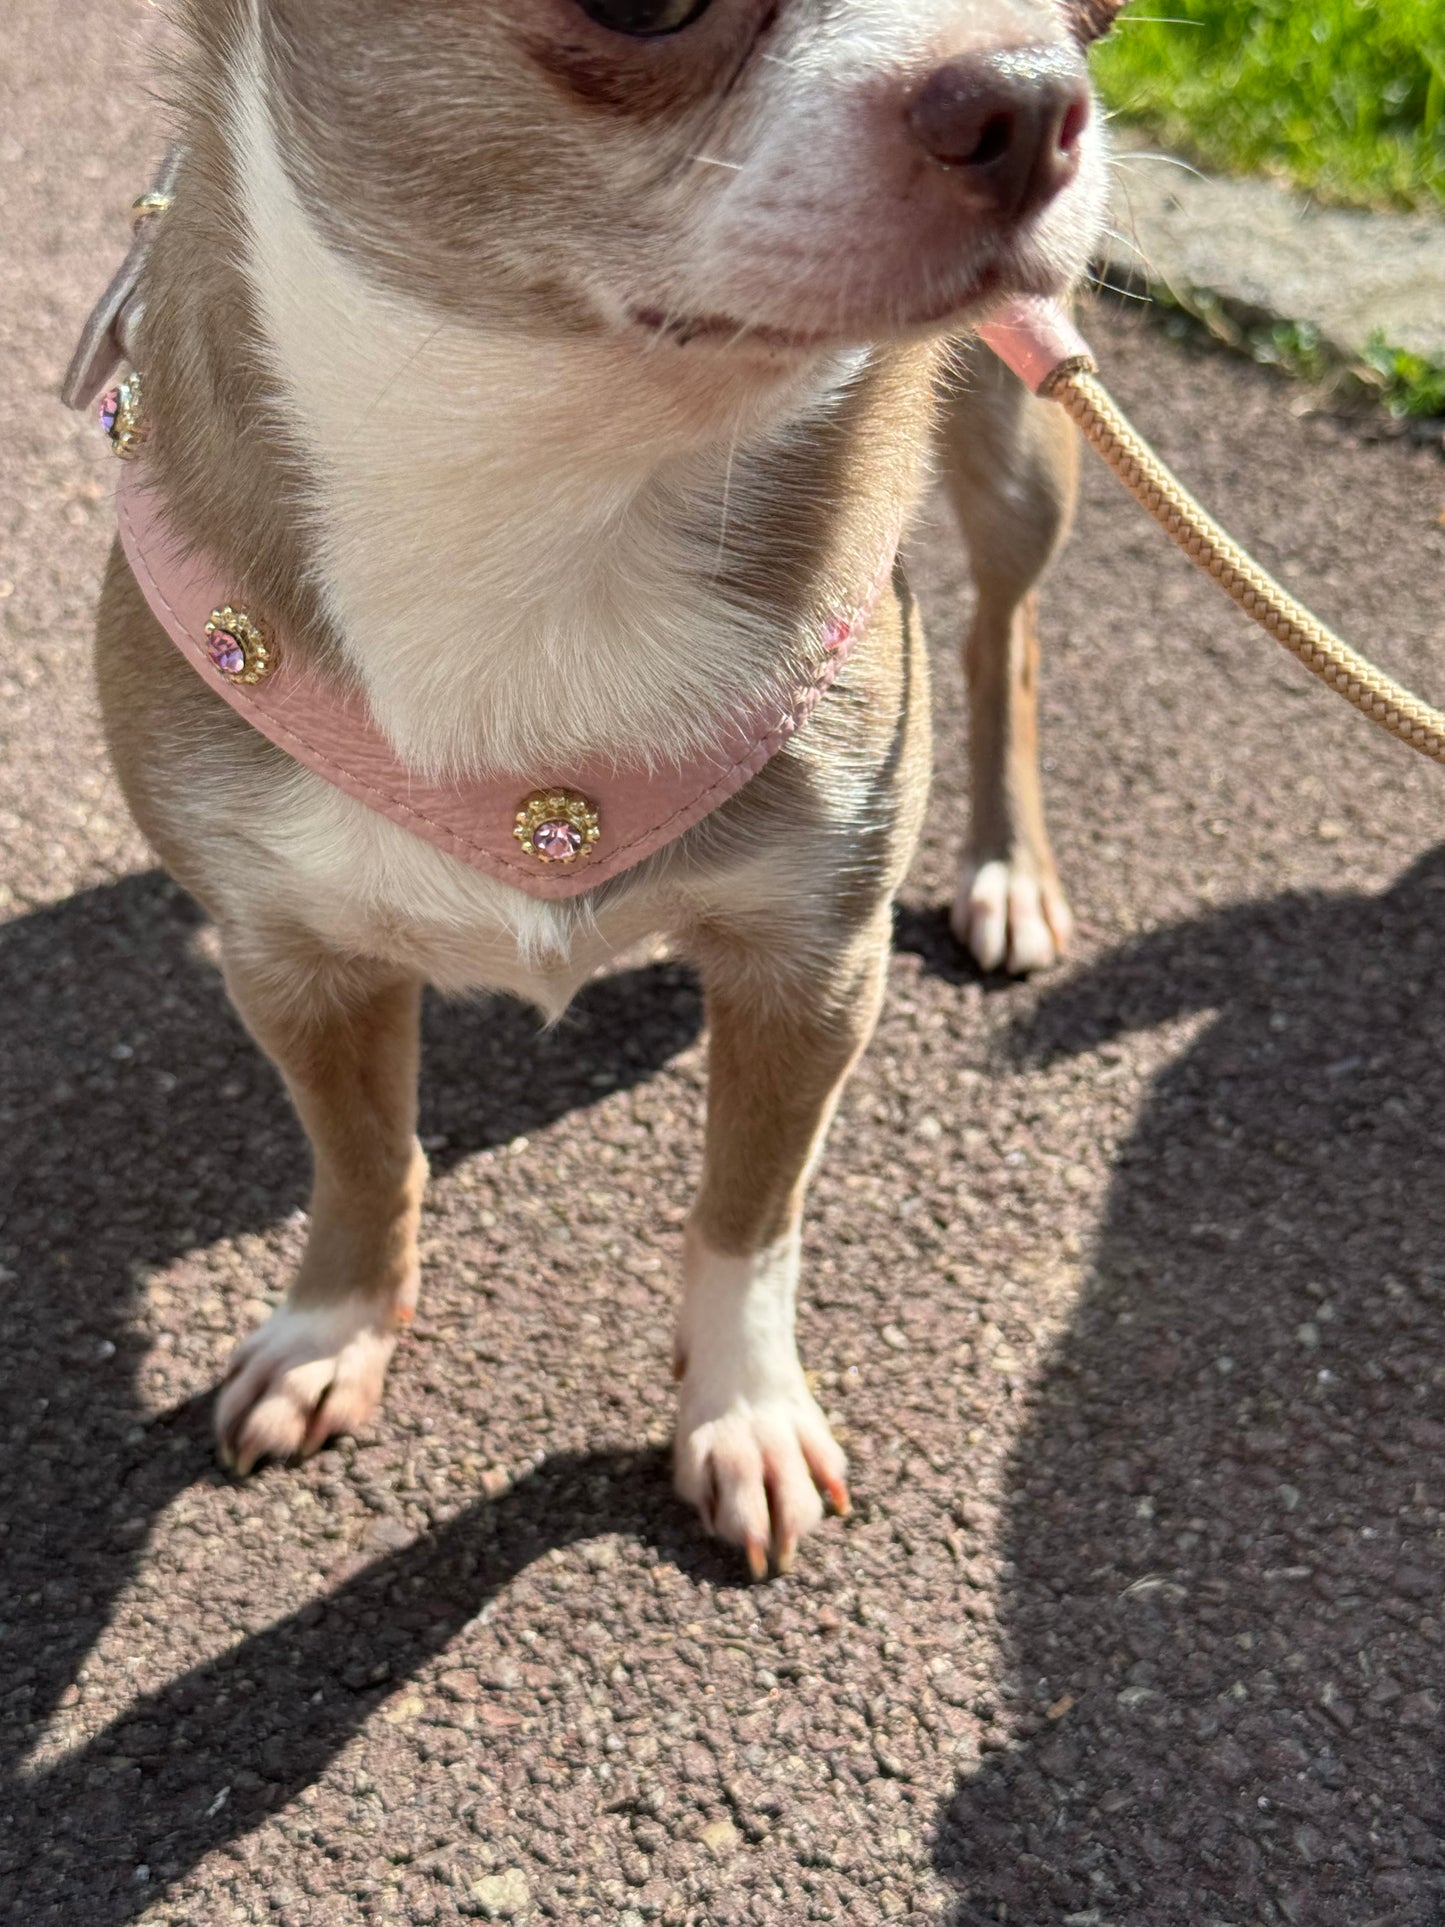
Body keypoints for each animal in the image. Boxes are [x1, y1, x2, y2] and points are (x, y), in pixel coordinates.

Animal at [84, 0, 1117, 1572]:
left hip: (1022, 421)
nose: (1029, 92)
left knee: (1004, 636)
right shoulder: (287, 956)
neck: (563, 486)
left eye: (1100, 13)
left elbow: (750, 1211)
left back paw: (1005, 870)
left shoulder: (813, 965)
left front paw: (740, 1411)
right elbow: (363, 1152)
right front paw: (336, 1325)